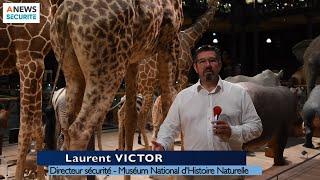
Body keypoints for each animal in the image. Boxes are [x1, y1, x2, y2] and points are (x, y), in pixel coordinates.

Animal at [50, 0, 182, 155]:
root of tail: (66, 14)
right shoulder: (170, 41)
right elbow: (169, 105)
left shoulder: (133, 58)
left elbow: (131, 116)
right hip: (109, 71)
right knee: (79, 130)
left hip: (72, 71)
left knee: (66, 128)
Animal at [134, 0, 219, 149]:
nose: (216, 5)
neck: (190, 38)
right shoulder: (183, 74)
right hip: (147, 88)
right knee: (141, 116)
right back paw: (147, 145)